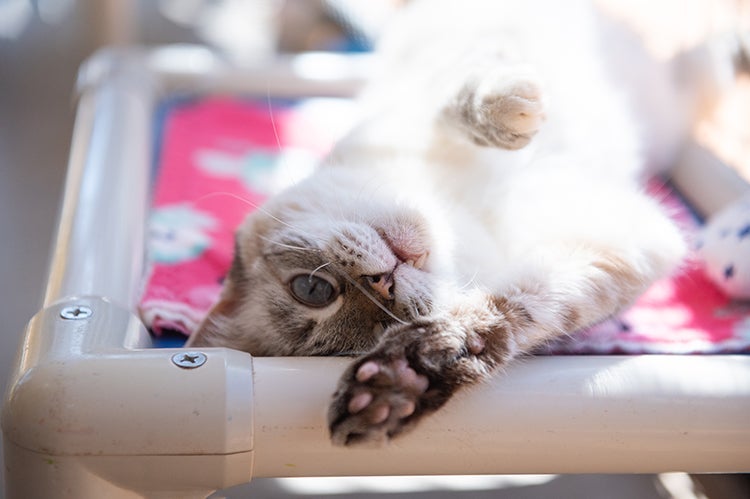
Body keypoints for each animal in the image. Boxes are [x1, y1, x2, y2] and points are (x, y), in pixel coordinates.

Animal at [187, 0, 692, 446]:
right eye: (378, 328)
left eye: (311, 290)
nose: (382, 284)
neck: (459, 214)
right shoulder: (632, 241)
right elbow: (502, 316)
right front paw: (402, 377)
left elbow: (463, 96)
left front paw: (513, 111)